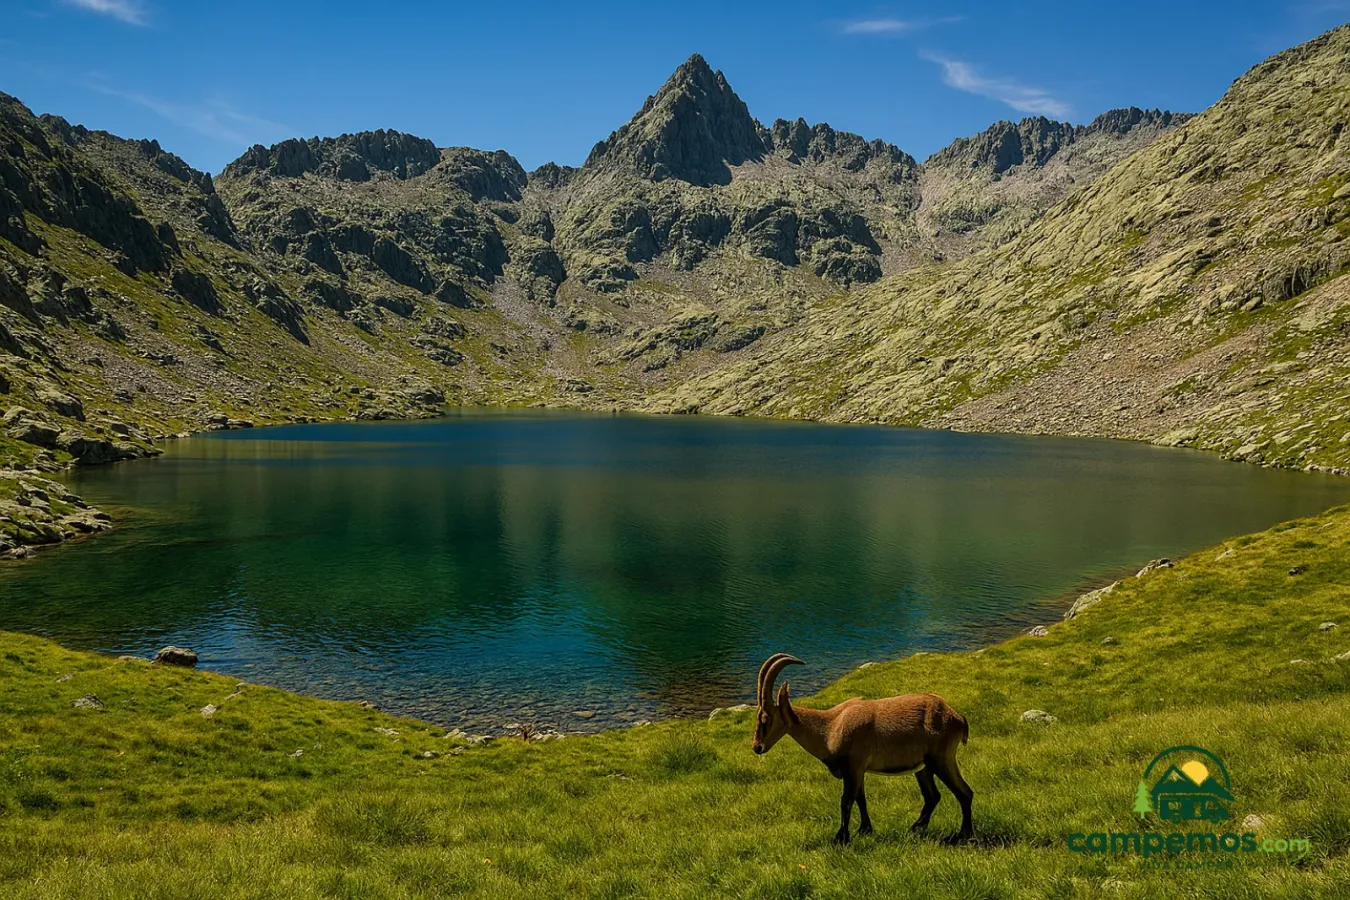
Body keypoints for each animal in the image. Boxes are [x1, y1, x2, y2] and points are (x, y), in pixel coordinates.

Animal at [750, 653, 973, 845]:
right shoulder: (858, 770)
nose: (757, 747)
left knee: (964, 792)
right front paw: (865, 830)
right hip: (924, 767)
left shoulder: (854, 766)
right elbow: (860, 798)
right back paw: (915, 829)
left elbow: (846, 800)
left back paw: (964, 835)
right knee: (933, 796)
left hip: (941, 759)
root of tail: (957, 718)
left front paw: (841, 838)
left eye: (765, 718)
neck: (830, 727)